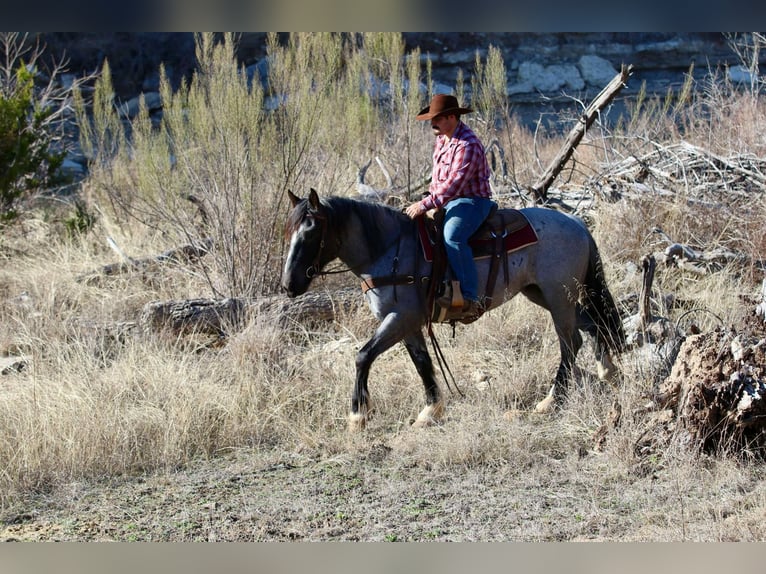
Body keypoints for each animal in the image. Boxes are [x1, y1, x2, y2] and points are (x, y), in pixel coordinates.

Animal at [281, 188, 625, 431]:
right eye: (289, 232)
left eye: (311, 232)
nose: (288, 285)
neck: (389, 251)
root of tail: (577, 223)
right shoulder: (407, 323)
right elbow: (422, 363)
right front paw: (430, 411)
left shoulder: (401, 317)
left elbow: (363, 356)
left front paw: (357, 416)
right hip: (542, 294)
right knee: (591, 325)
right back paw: (608, 372)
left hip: (558, 296)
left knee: (570, 341)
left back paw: (551, 401)